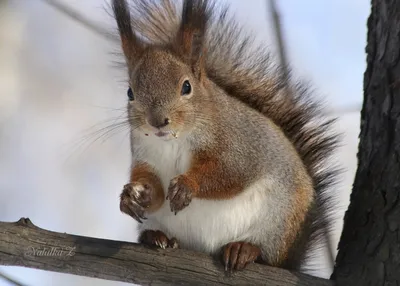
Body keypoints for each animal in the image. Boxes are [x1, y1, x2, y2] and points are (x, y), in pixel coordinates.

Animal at [111, 0, 340, 272]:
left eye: (186, 86)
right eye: (130, 93)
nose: (157, 122)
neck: (173, 141)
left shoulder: (240, 144)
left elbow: (231, 173)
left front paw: (186, 185)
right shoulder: (145, 155)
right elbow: (153, 189)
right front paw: (132, 196)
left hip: (279, 222)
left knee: (267, 254)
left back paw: (244, 249)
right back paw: (156, 236)